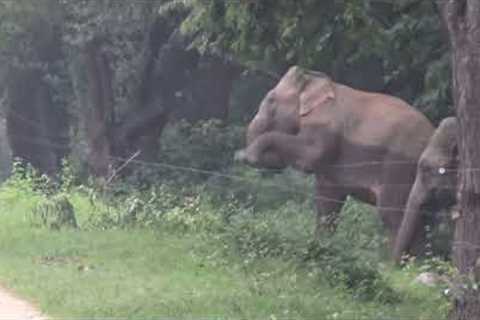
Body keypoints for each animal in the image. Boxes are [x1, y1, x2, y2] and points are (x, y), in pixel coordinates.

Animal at [236, 65, 436, 250]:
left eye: (271, 100)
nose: (243, 158)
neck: (319, 82)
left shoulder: (323, 126)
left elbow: (310, 155)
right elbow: (327, 201)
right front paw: (321, 246)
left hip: (398, 168)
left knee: (393, 215)